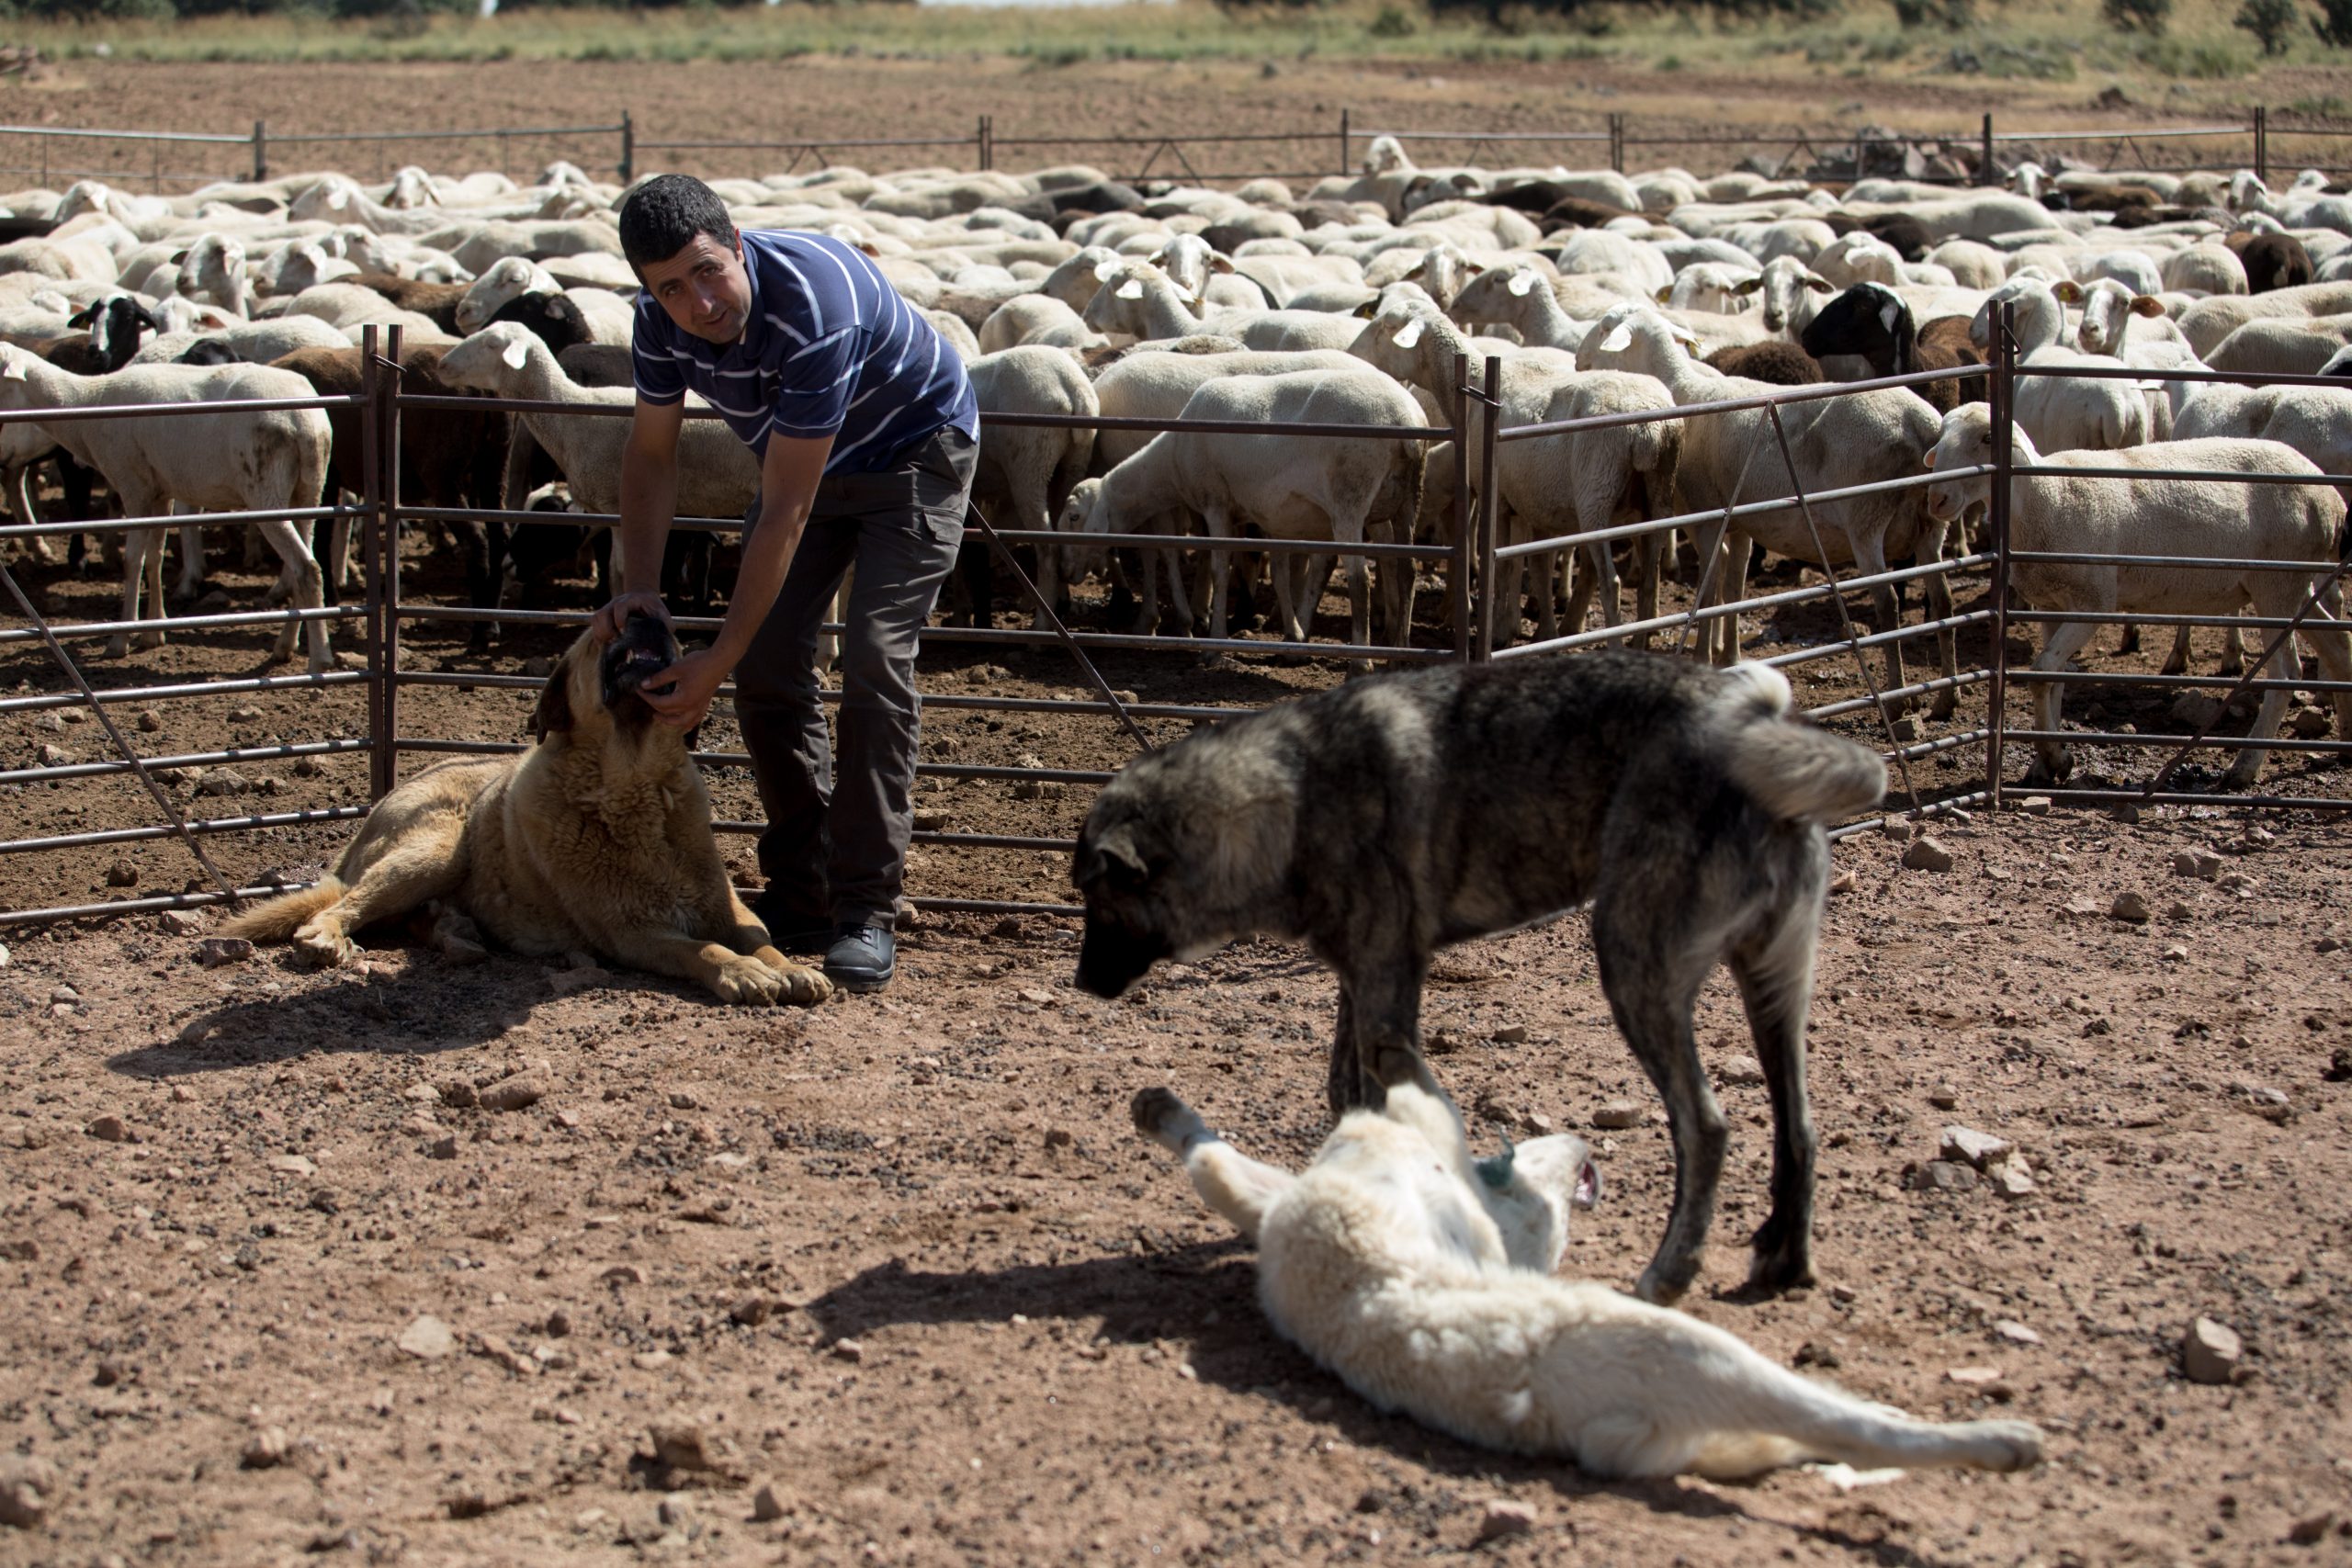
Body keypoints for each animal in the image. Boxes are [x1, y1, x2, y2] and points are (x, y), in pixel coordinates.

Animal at [1072, 651, 1886, 1304]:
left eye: (1097, 900)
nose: (1081, 984)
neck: (1289, 797)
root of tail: (1749, 727)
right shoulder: (1364, 981)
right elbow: (1344, 1097)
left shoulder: (1386, 992)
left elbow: (1376, 1106)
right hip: (1772, 990)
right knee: (1800, 1128)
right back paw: (1785, 1260)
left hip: (1633, 967)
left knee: (1707, 1128)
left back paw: (1669, 1272)